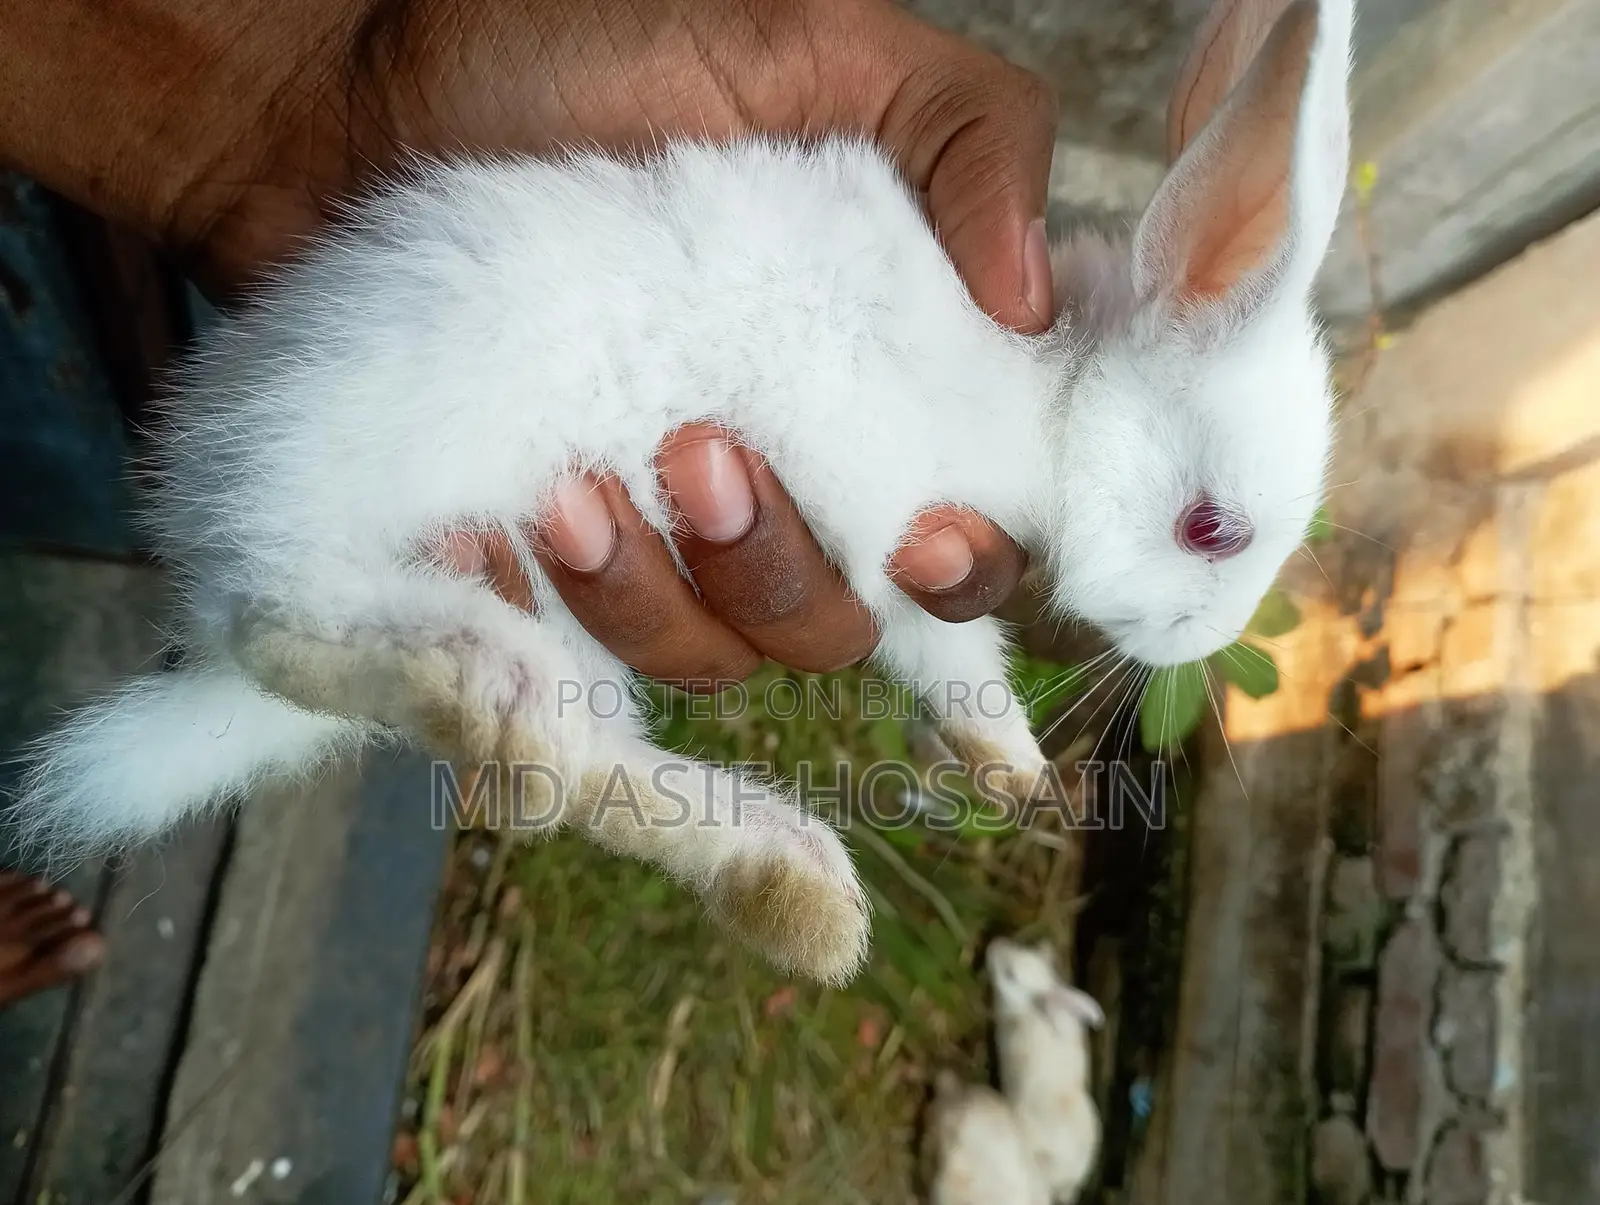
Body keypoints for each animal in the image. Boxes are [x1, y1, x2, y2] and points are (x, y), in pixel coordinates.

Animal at [10, 0, 1352, 987]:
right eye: (1211, 528)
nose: (1202, 642)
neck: (1048, 393)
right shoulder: (876, 521)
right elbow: (942, 642)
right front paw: (1011, 760)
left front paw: (1007, 775)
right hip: (351, 497)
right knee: (298, 626)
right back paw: (494, 697)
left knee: (572, 772)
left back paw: (790, 891)